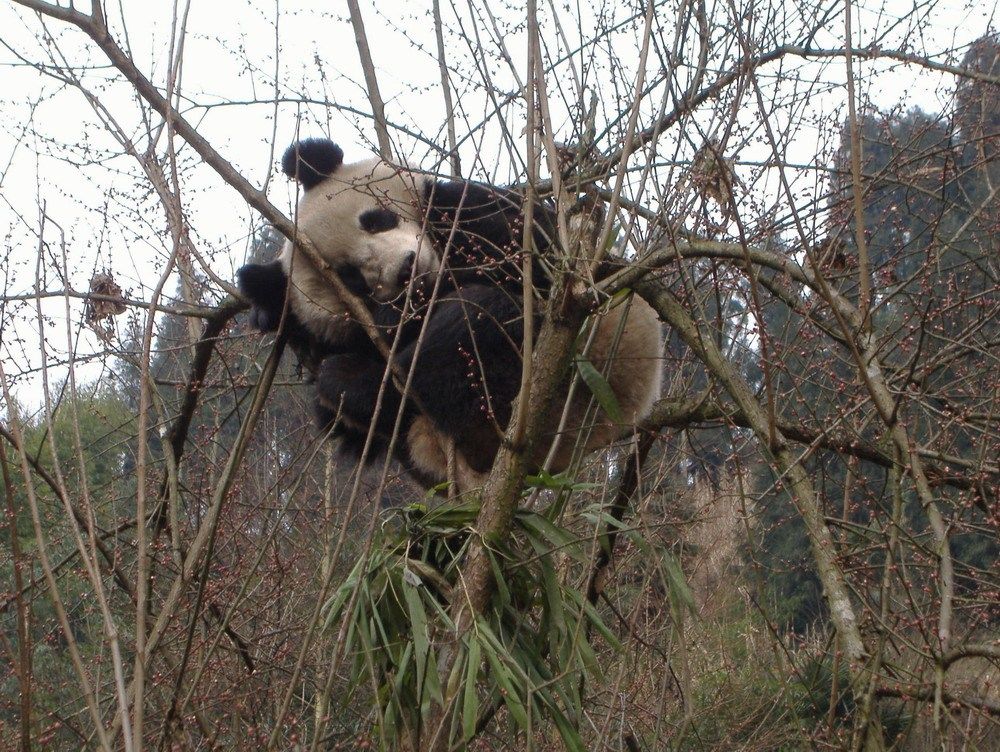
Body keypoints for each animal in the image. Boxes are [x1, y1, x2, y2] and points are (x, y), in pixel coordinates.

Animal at [238, 138, 664, 490]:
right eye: (351, 277)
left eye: (375, 219)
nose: (407, 271)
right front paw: (271, 310)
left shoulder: (466, 210)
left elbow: (531, 255)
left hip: (581, 366)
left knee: (473, 323)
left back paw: (351, 381)